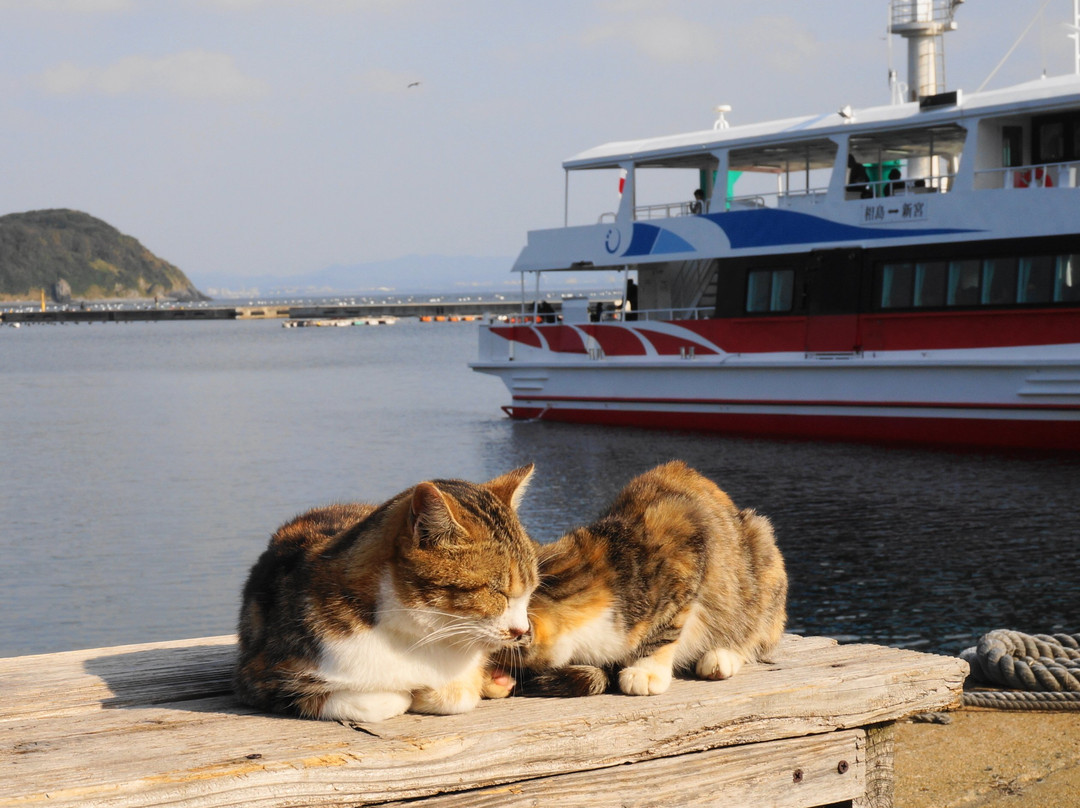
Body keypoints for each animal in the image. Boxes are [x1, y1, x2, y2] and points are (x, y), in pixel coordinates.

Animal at [236, 464, 540, 721]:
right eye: (496, 591)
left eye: (531, 590)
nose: (522, 630)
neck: (417, 638)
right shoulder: (266, 675)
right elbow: (381, 701)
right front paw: (409, 694)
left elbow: (457, 694)